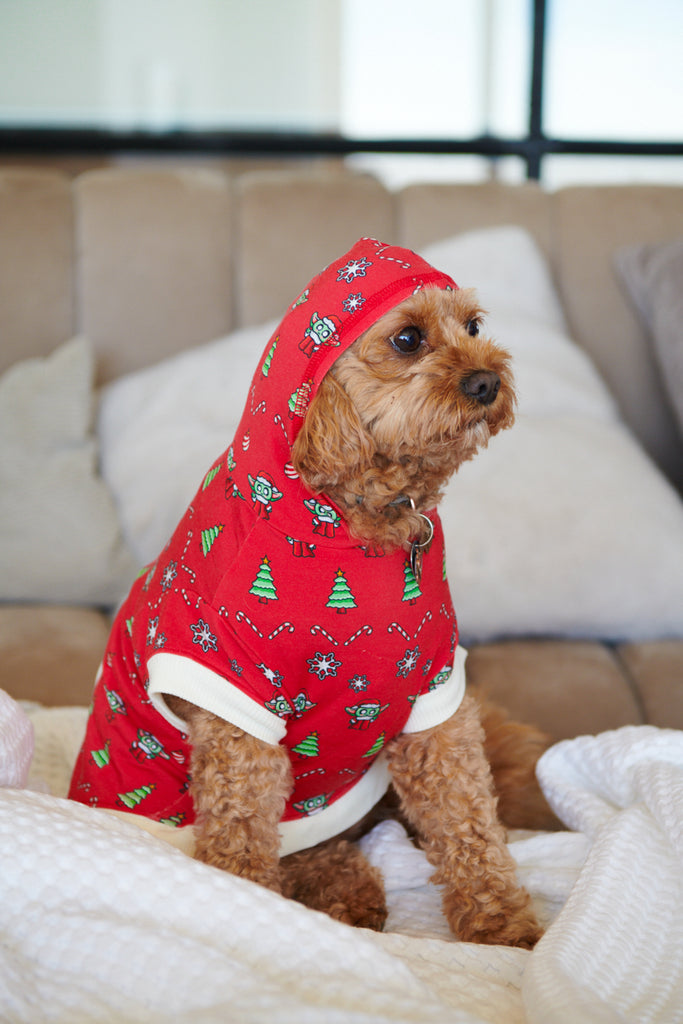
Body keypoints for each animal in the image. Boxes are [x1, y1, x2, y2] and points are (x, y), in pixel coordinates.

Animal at [174, 286, 548, 942]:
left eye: (474, 326)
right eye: (407, 338)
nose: (487, 382)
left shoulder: (434, 693)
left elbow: (466, 818)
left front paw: (503, 926)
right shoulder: (237, 705)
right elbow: (239, 837)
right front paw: (244, 912)